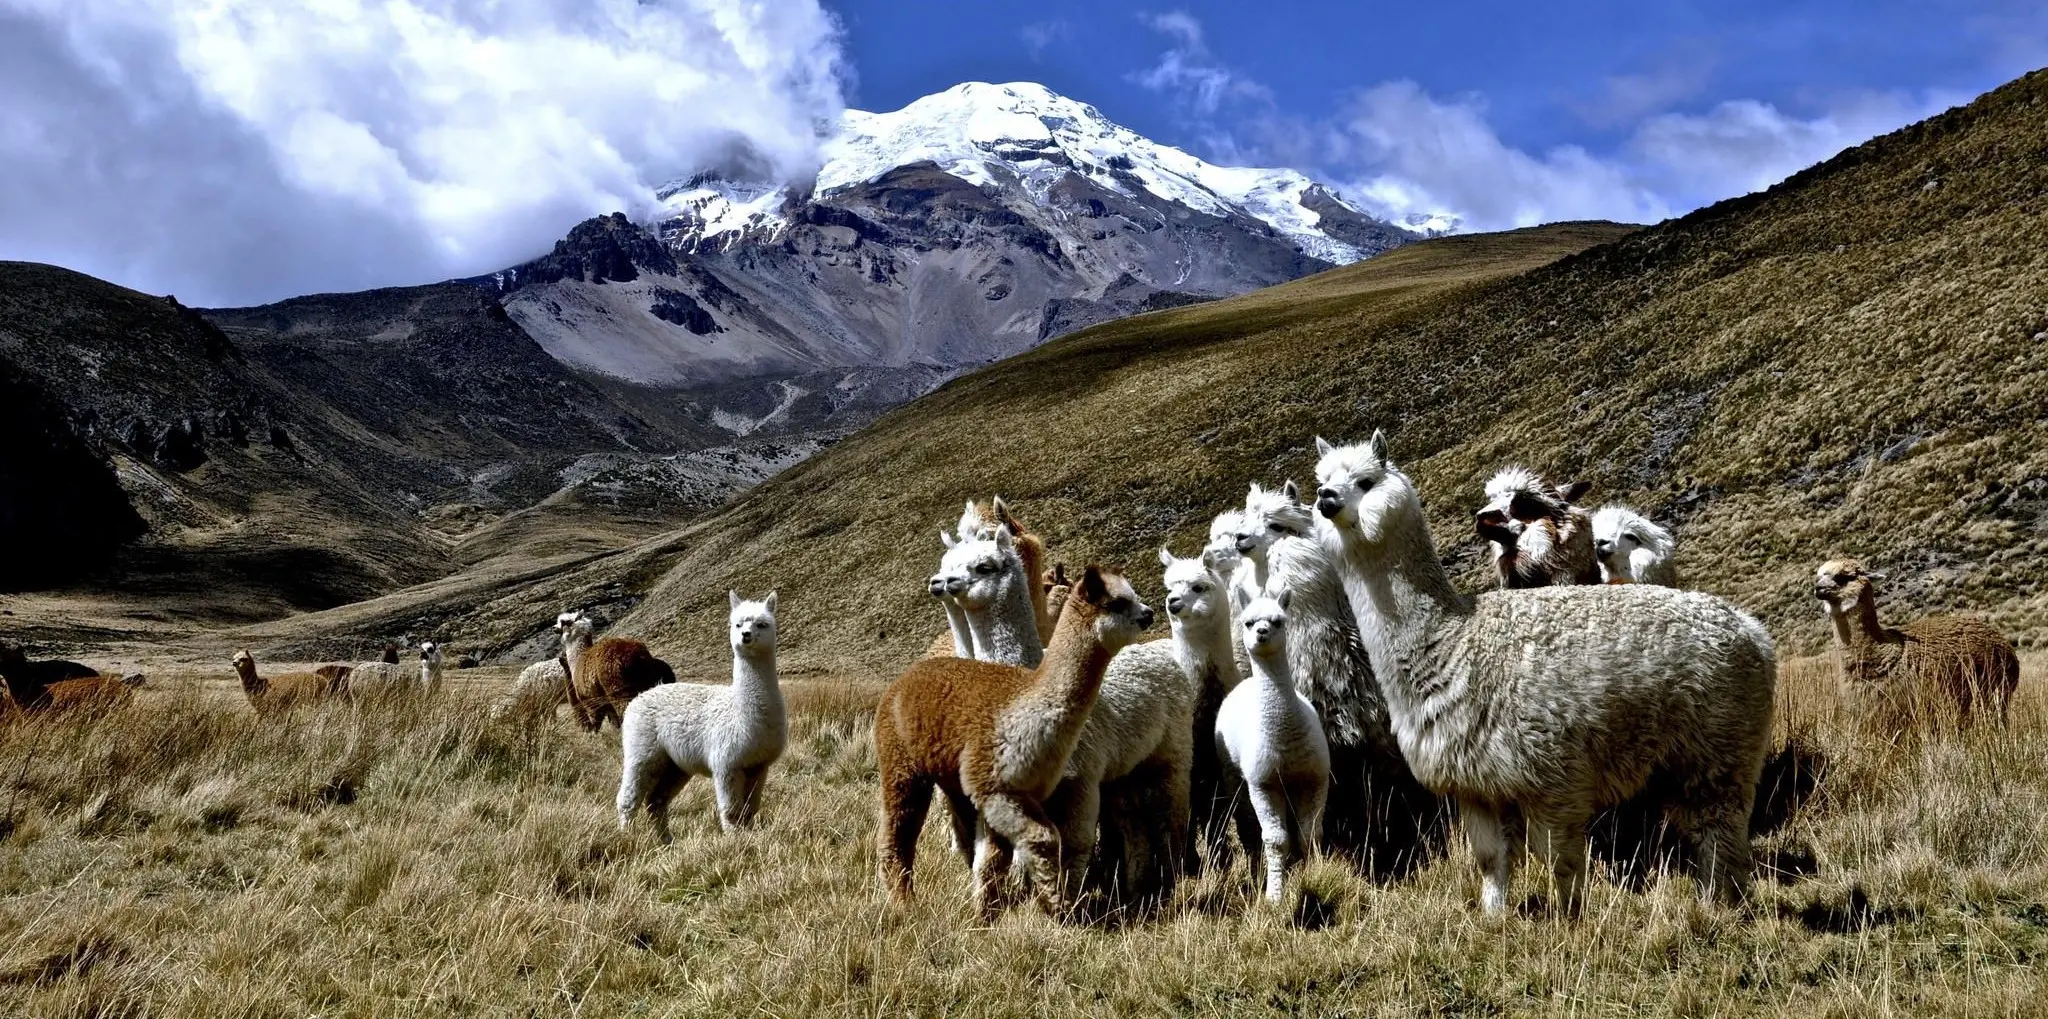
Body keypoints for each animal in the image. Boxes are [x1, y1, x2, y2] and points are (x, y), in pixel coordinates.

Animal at [618, 592, 788, 839]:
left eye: (762, 624)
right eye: (737, 624)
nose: (745, 635)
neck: (742, 713)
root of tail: (638, 698)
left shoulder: (758, 765)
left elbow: (750, 809)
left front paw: (748, 835)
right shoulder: (726, 763)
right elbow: (731, 810)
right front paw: (734, 840)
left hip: (675, 765)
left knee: (656, 801)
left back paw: (665, 840)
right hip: (641, 750)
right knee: (629, 798)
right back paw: (626, 836)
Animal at [875, 568, 1154, 918]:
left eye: (1135, 596)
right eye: (1118, 603)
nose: (1150, 613)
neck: (1027, 705)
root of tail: (905, 676)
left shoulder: (1019, 790)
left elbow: (996, 857)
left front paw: (988, 911)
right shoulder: (995, 786)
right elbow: (1043, 839)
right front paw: (1055, 906)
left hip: (952, 780)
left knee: (960, 834)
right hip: (900, 761)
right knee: (896, 834)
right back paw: (905, 904)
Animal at [1216, 589, 1331, 904]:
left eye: (1278, 620)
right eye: (1248, 622)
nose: (1262, 632)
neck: (1285, 735)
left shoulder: (1315, 778)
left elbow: (1310, 833)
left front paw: (1313, 873)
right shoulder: (1263, 784)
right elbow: (1276, 840)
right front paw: (1274, 894)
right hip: (1233, 772)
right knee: (1247, 823)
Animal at [1314, 431, 1776, 912]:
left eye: (1366, 481)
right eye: (1320, 479)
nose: (1326, 498)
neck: (1452, 640)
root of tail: (1751, 629)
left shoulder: (1555, 776)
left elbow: (1562, 861)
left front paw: (1570, 918)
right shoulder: (1477, 784)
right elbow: (1491, 859)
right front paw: (1494, 917)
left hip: (1720, 747)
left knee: (1718, 830)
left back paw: (1718, 907)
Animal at [1813, 558, 2020, 729]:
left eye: (1844, 577)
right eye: (1820, 575)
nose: (1818, 588)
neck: (1884, 653)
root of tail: (2004, 643)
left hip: (1997, 695)